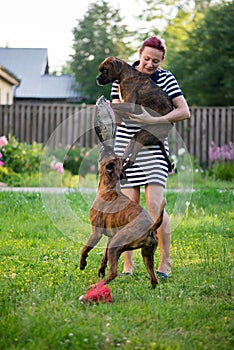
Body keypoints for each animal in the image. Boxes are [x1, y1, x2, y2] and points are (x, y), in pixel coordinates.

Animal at [79, 146, 165, 288]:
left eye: (110, 153)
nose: (106, 146)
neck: (110, 187)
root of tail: (151, 227)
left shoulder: (96, 233)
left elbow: (84, 249)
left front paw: (82, 264)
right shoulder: (110, 238)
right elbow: (104, 257)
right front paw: (101, 270)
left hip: (117, 245)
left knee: (114, 272)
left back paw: (97, 285)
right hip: (146, 255)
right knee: (154, 278)